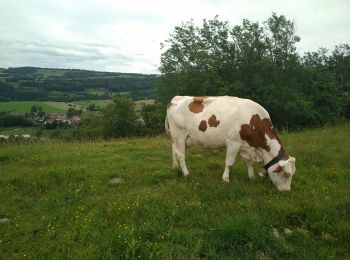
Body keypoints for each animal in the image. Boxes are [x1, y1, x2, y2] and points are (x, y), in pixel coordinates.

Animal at [165, 95, 296, 191]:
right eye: (286, 174)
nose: (286, 191)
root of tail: (176, 98)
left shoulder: (246, 146)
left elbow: (249, 162)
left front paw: (251, 177)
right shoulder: (233, 142)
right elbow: (229, 163)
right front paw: (225, 179)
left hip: (179, 138)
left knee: (174, 149)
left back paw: (175, 166)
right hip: (179, 135)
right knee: (181, 155)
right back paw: (186, 174)